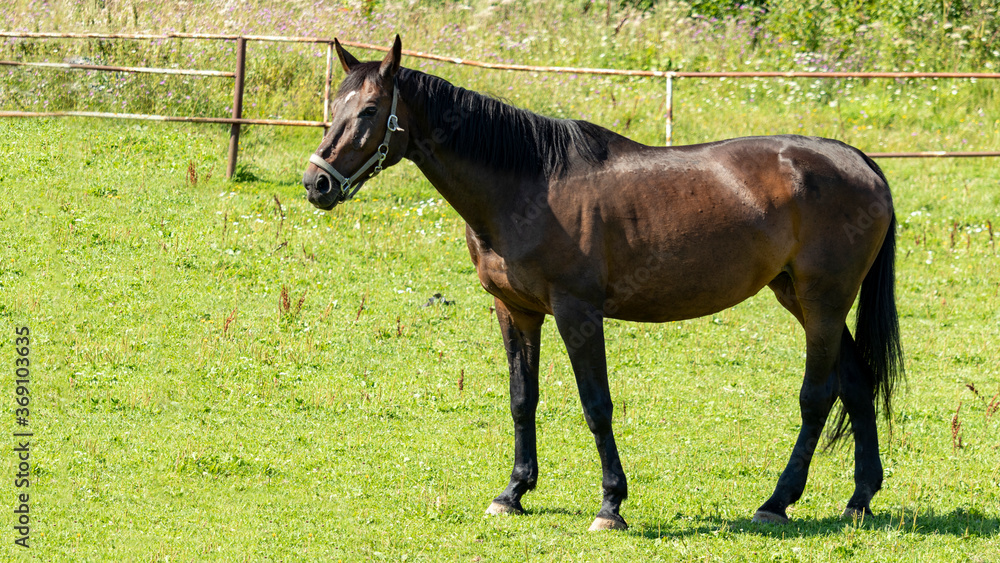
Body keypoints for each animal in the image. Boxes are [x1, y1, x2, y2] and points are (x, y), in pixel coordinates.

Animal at [303, 36, 904, 531]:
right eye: (335, 109)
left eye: (371, 111)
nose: (316, 183)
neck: (529, 186)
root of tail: (858, 162)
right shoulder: (515, 310)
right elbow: (522, 398)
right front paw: (513, 493)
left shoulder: (578, 313)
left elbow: (597, 405)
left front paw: (611, 504)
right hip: (799, 297)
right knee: (856, 381)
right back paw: (859, 499)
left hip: (823, 301)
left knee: (818, 395)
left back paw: (777, 502)